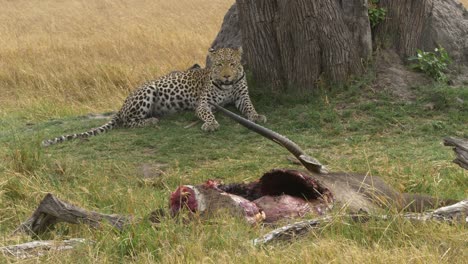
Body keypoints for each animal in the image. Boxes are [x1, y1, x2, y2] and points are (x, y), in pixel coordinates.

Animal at [43, 47, 266, 146]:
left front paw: (256, 116)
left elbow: (249, 106)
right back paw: (151, 121)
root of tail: (122, 104)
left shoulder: (242, 96)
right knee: (127, 121)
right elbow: (207, 113)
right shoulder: (204, 103)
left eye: (232, 64)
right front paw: (210, 124)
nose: (226, 76)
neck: (228, 86)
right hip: (148, 91)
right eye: (219, 65)